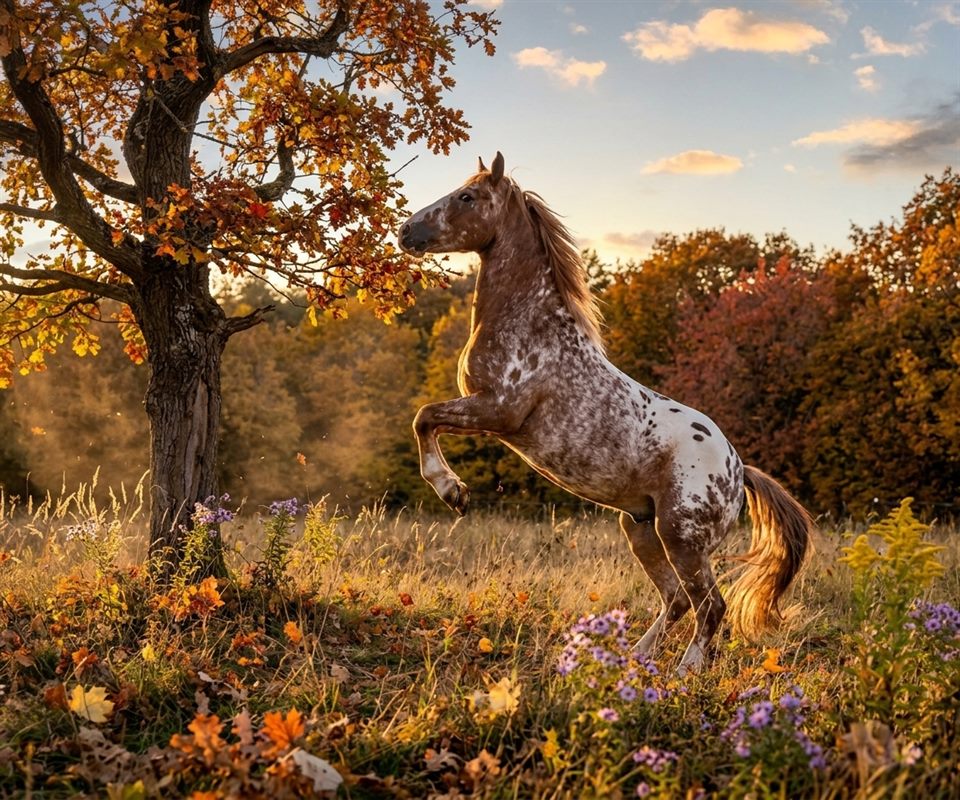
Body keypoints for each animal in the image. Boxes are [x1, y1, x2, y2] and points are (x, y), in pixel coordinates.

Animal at [399, 152, 811, 674]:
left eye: (466, 197)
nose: (406, 232)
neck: (530, 326)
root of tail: (739, 471)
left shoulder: (498, 411)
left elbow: (425, 416)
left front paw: (453, 491)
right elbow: (425, 418)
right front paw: (454, 490)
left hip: (681, 537)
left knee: (709, 605)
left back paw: (685, 670)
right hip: (640, 529)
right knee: (678, 600)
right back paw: (635, 658)